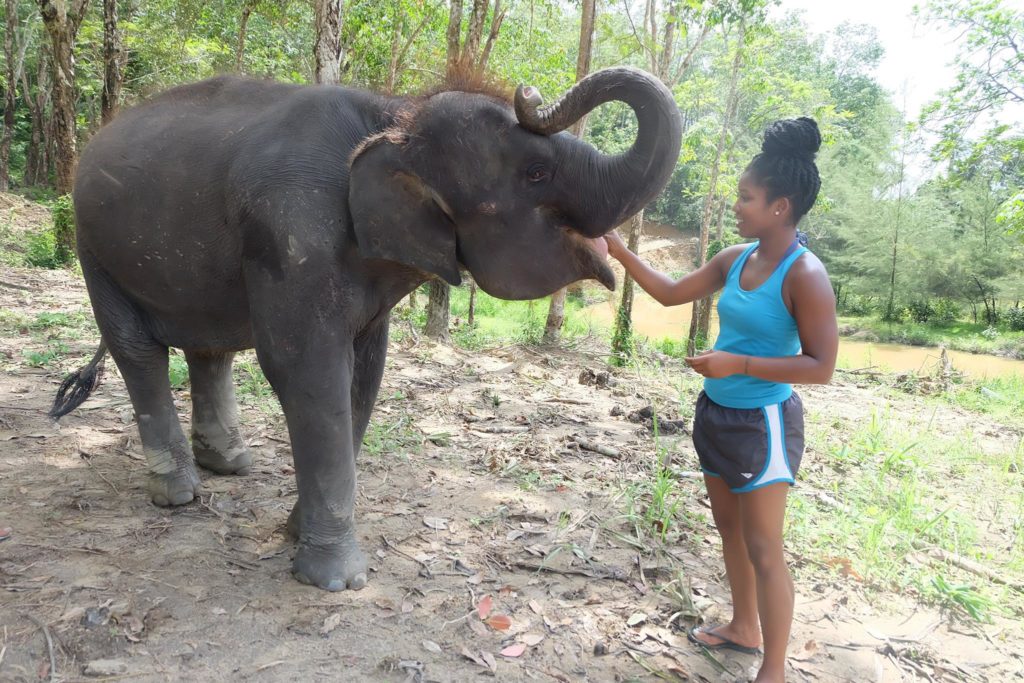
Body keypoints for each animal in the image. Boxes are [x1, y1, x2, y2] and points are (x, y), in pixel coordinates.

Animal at [50, 66, 682, 591]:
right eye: (536, 172)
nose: (528, 92)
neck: (393, 114)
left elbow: (365, 376)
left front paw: (294, 532)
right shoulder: (292, 232)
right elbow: (307, 372)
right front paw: (337, 580)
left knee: (210, 345)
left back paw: (230, 463)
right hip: (92, 244)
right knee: (138, 350)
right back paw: (178, 494)